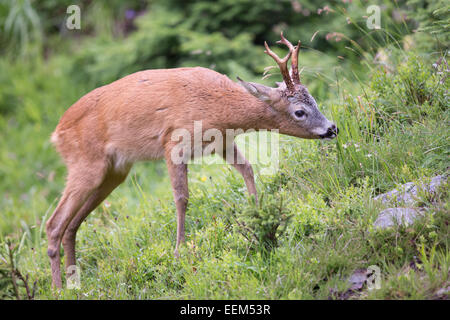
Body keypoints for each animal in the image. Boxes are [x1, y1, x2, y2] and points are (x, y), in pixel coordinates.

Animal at [47, 32, 340, 288]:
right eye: (299, 111)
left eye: (314, 100)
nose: (332, 128)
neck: (219, 108)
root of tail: (56, 132)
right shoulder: (173, 142)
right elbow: (182, 197)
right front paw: (179, 252)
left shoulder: (222, 142)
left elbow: (248, 170)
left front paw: (259, 216)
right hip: (86, 163)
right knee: (54, 224)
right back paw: (59, 288)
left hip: (115, 172)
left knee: (72, 225)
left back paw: (75, 283)